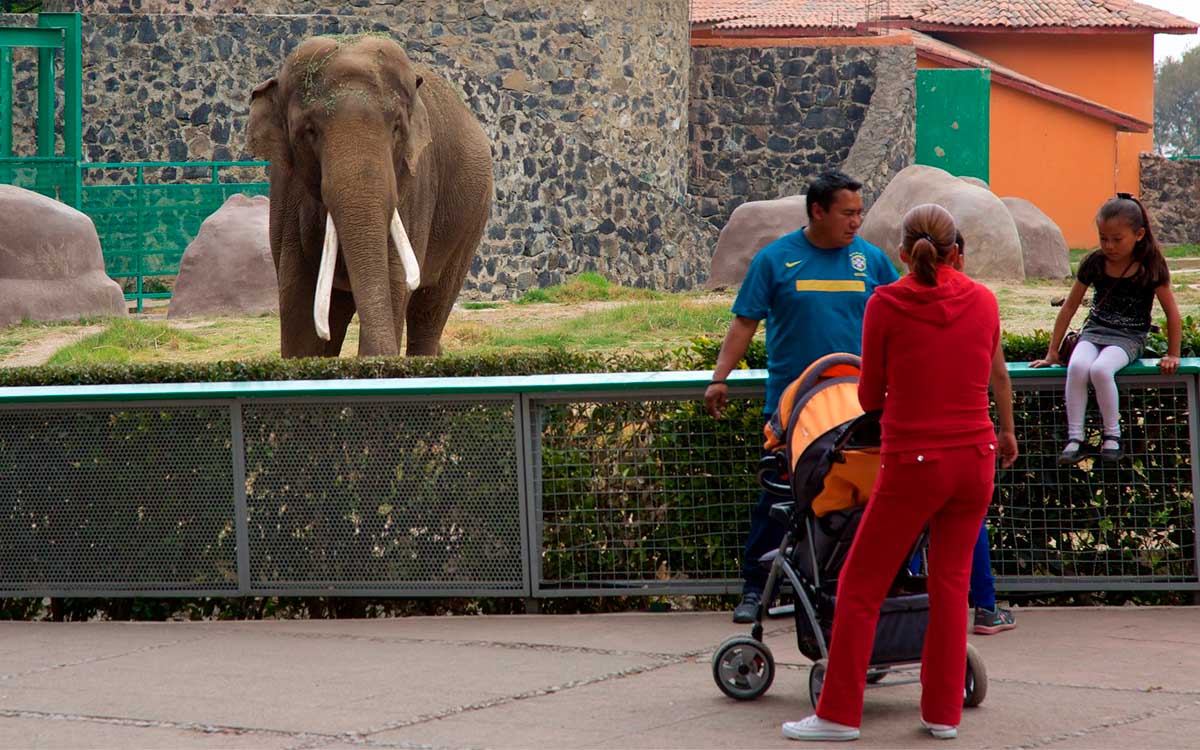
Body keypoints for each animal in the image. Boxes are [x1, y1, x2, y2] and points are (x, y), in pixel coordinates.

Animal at [248, 36, 492, 357]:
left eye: (397, 127)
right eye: (309, 130)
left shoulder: (414, 185)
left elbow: (393, 279)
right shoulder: (287, 190)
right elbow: (297, 294)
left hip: (470, 222)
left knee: (430, 308)